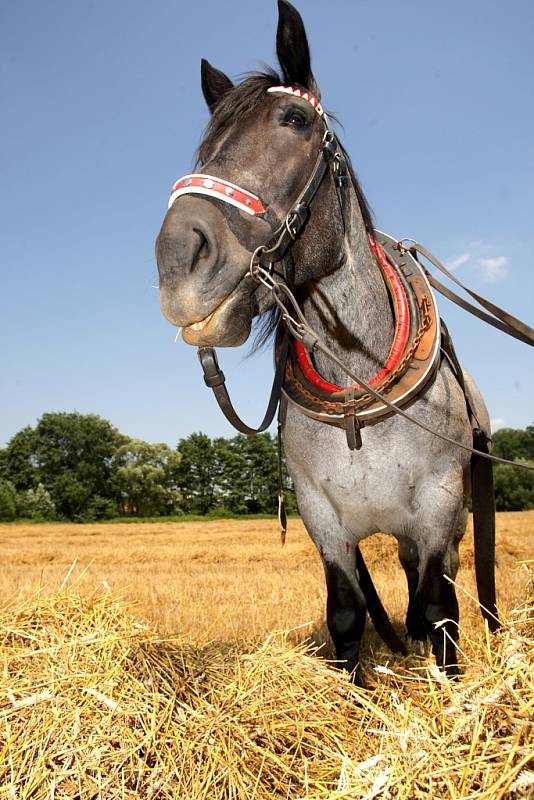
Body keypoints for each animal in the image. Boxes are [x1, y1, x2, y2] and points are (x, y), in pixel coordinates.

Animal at [157, 1, 500, 688]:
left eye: (293, 120)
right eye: (205, 145)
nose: (178, 259)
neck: (356, 396)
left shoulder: (436, 510)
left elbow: (439, 612)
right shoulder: (324, 519)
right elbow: (347, 613)